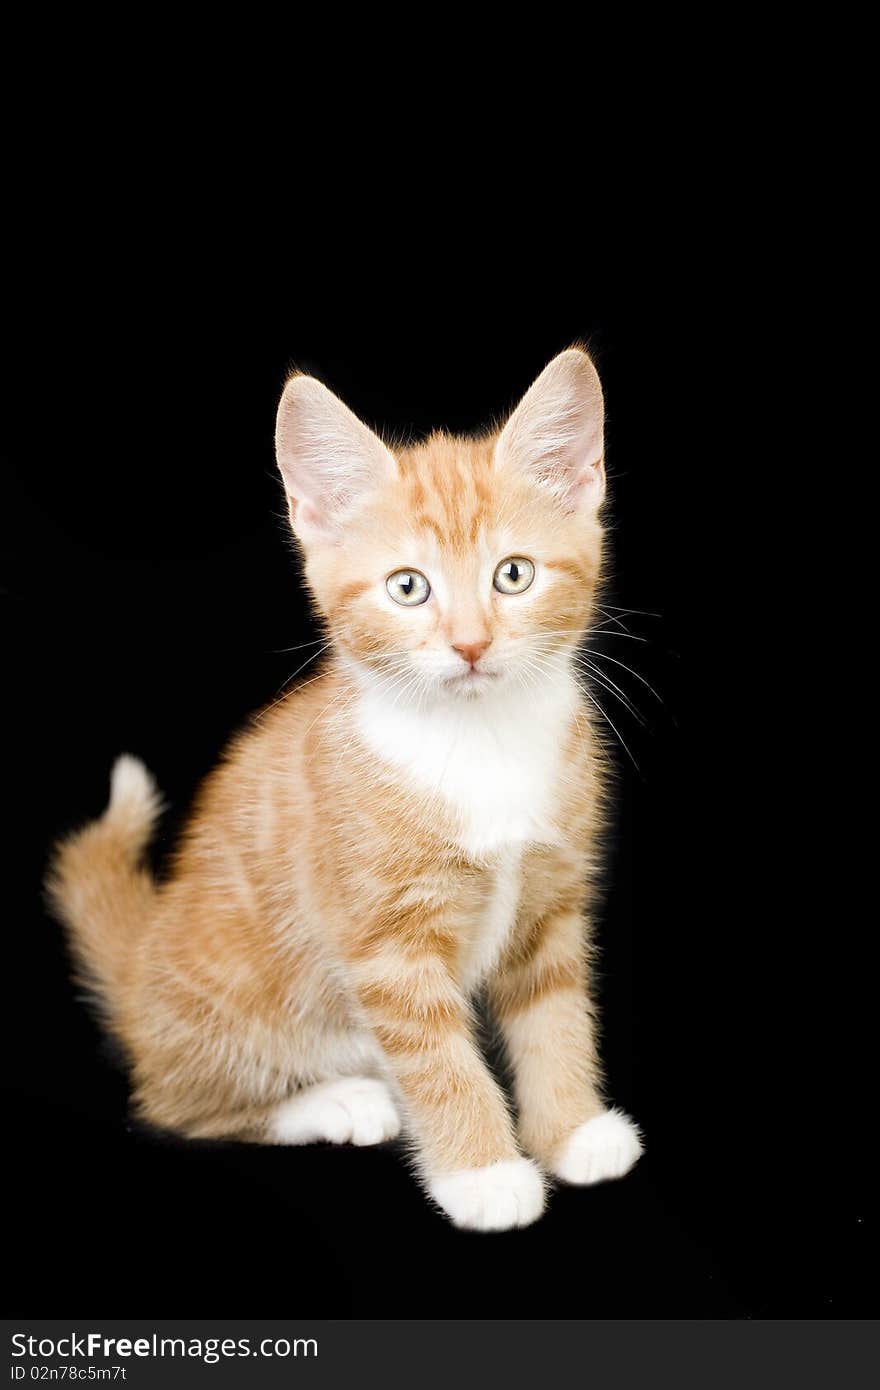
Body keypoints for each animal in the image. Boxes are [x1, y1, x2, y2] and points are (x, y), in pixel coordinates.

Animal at [47, 347, 639, 1228]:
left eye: (514, 574)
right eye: (408, 587)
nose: (470, 644)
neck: (479, 746)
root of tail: (139, 967)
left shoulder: (551, 900)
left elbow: (555, 1013)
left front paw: (570, 1130)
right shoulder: (385, 944)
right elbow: (438, 1058)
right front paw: (485, 1174)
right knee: (174, 1105)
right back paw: (337, 1102)